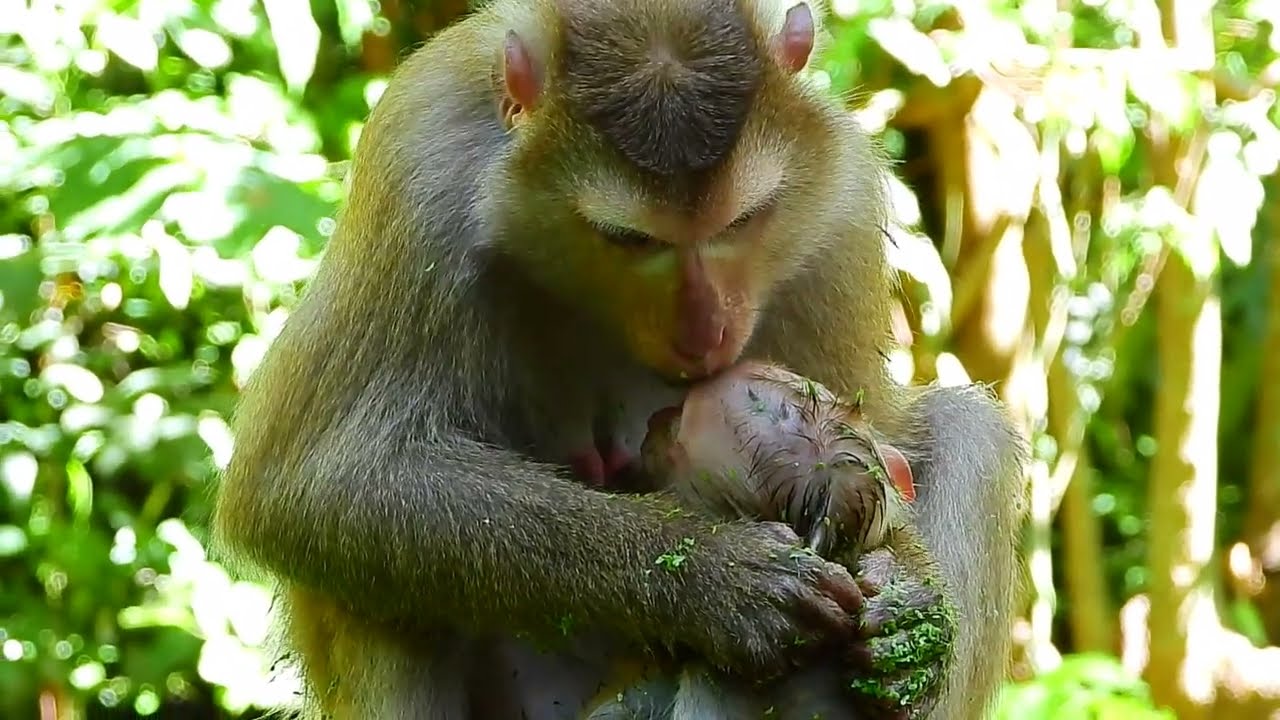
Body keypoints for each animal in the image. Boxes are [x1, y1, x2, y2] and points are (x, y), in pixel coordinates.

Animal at [209, 0, 1029, 718]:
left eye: (742, 221)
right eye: (630, 239)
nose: (705, 334)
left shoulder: (839, 203)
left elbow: (873, 431)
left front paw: (907, 598)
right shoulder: (420, 168)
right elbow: (313, 482)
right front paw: (716, 580)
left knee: (967, 430)